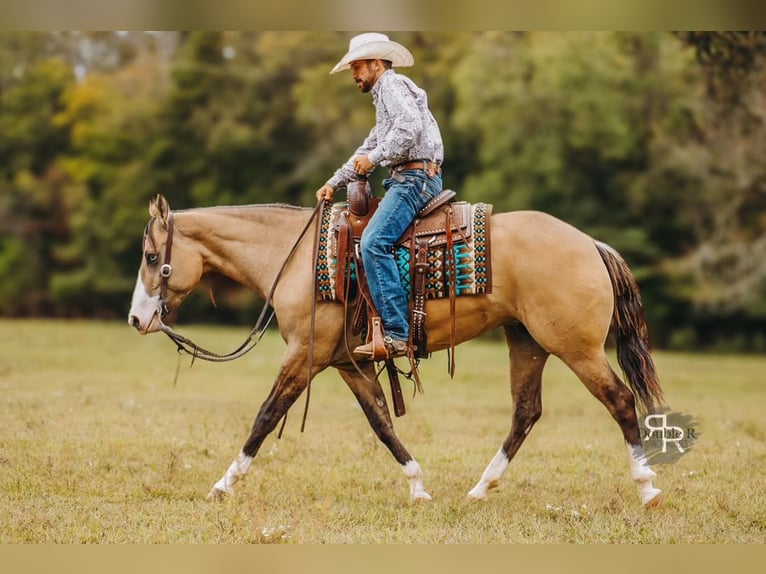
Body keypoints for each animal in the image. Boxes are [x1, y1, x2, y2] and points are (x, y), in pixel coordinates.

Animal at [128, 194, 665, 508]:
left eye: (153, 257)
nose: (137, 319)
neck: (293, 257)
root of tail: (590, 244)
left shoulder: (303, 356)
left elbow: (265, 416)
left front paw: (222, 485)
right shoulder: (347, 363)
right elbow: (382, 423)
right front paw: (418, 486)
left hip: (576, 348)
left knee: (620, 401)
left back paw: (647, 488)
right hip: (528, 343)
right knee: (526, 412)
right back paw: (480, 489)